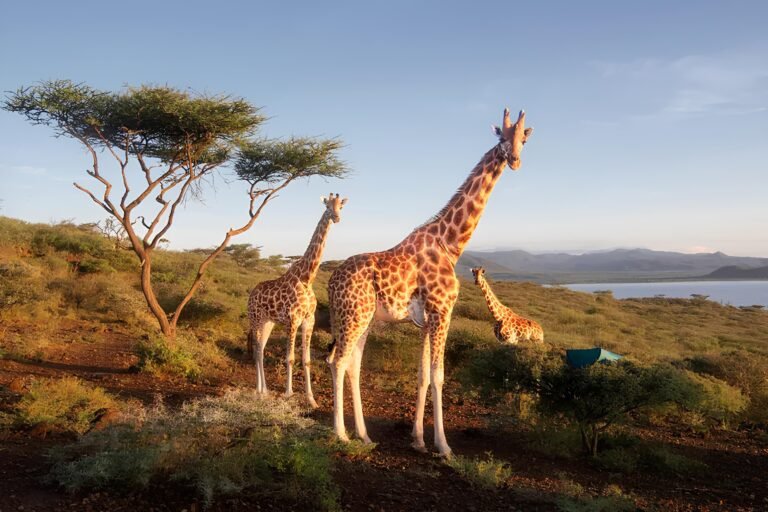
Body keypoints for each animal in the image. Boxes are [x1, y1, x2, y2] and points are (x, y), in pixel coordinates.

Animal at [247, 193, 347, 408]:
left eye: (340, 207)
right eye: (327, 207)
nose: (336, 218)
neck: (307, 278)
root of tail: (251, 294)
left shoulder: (309, 320)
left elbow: (306, 359)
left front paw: (311, 400)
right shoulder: (292, 320)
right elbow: (290, 358)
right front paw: (288, 393)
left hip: (268, 322)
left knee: (261, 348)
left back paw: (265, 390)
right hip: (255, 319)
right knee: (257, 350)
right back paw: (260, 391)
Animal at [327, 108, 533, 457]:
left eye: (524, 139)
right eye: (501, 137)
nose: (515, 160)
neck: (450, 244)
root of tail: (329, 282)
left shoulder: (425, 320)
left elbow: (423, 375)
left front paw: (419, 440)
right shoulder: (441, 312)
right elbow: (438, 376)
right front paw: (444, 446)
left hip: (364, 319)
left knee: (353, 365)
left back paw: (364, 435)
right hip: (352, 316)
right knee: (337, 361)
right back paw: (341, 435)